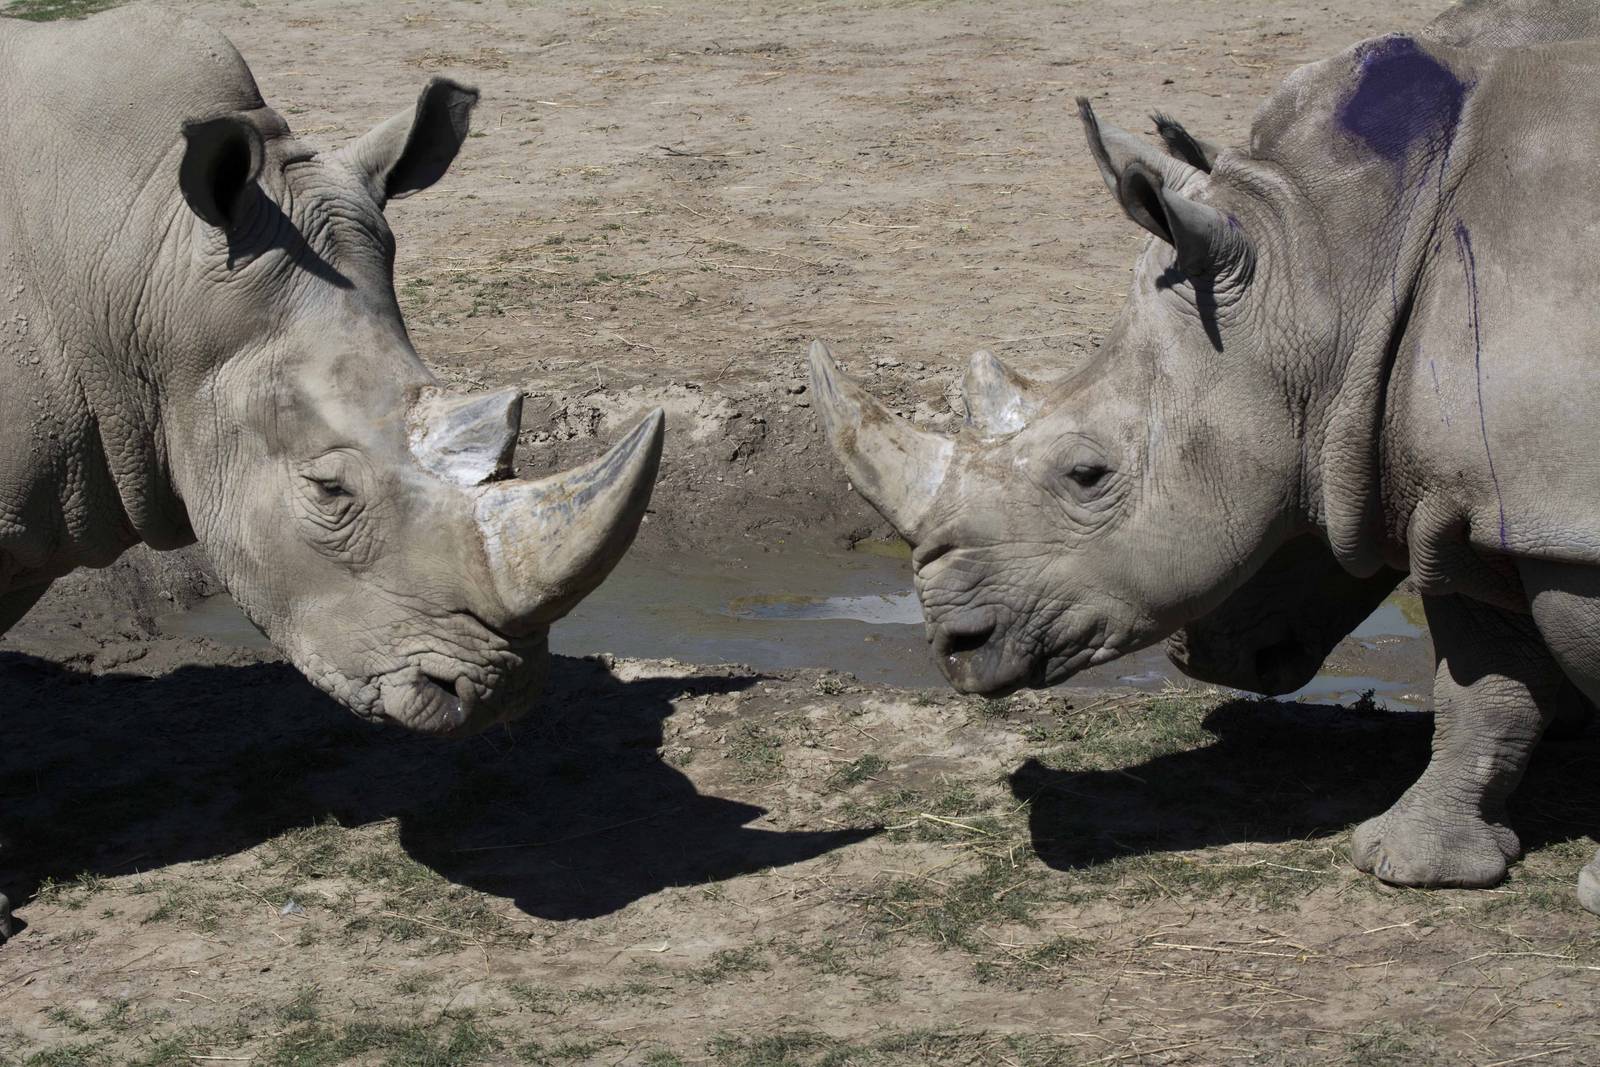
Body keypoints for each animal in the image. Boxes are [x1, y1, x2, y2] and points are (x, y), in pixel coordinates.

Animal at [811, 7, 1600, 909]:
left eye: (1087, 474)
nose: (955, 649)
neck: (1330, 263)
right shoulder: (1476, 489)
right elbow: (1480, 677)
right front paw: (1413, 863)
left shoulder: (1560, 513)